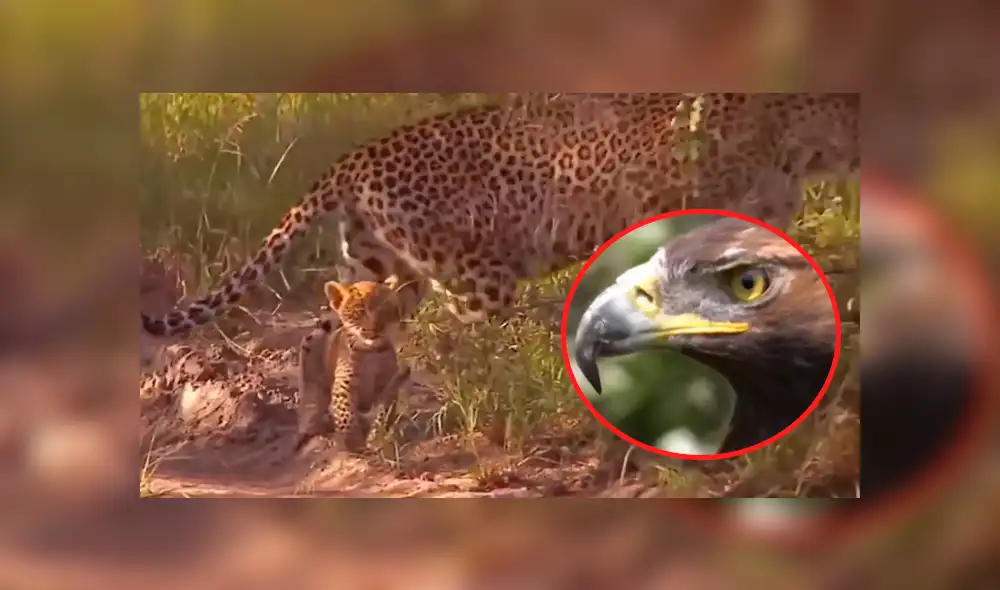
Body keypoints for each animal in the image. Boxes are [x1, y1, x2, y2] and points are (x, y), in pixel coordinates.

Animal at [294, 275, 412, 455]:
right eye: (359, 312)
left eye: (384, 309)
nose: (374, 330)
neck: (371, 351)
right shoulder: (344, 383)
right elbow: (345, 413)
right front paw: (352, 442)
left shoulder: (388, 384)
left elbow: (385, 410)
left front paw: (379, 434)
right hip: (312, 355)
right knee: (310, 405)